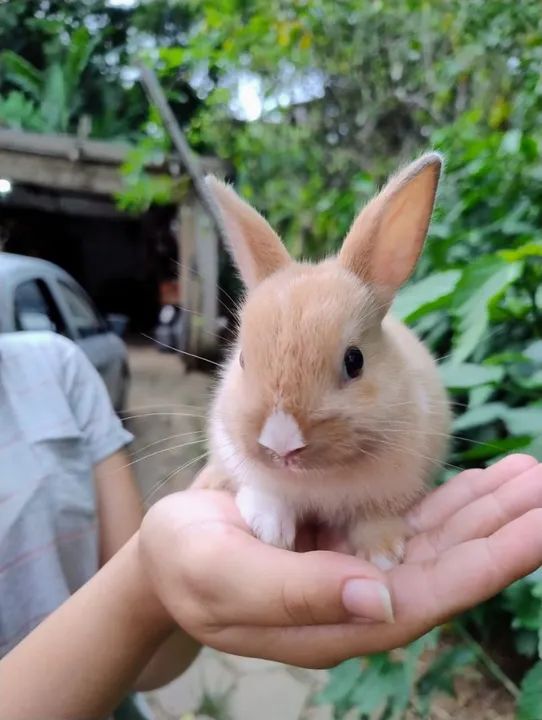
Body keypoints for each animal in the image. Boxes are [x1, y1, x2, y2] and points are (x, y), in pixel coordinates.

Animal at [195, 153, 451, 569]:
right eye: (243, 359)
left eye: (354, 361)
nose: (281, 444)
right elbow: (265, 495)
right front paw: (271, 530)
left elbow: (375, 518)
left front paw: (382, 555)